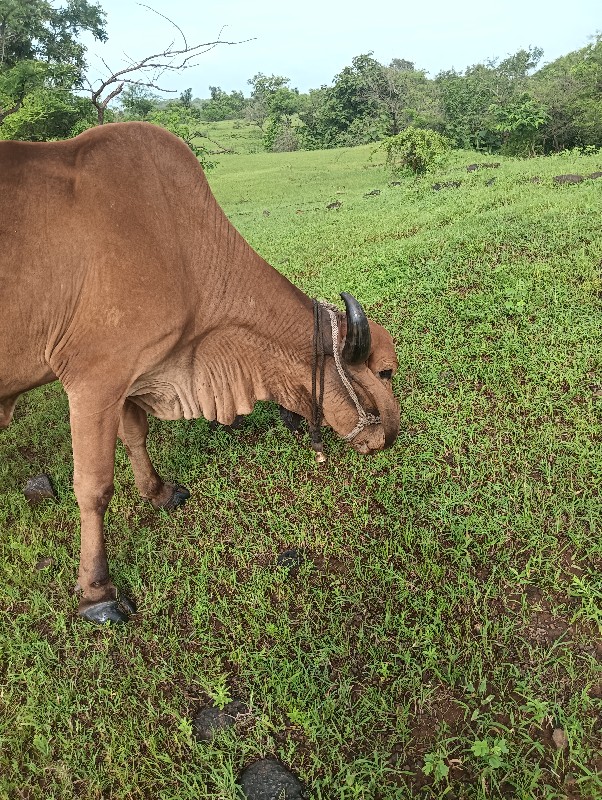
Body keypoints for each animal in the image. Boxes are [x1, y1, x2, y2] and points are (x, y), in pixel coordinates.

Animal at [1, 123, 398, 624]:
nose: (389, 436)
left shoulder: (132, 374)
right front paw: (97, 590)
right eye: (385, 372)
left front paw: (158, 492)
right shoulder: (94, 381)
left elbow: (136, 436)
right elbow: (93, 487)